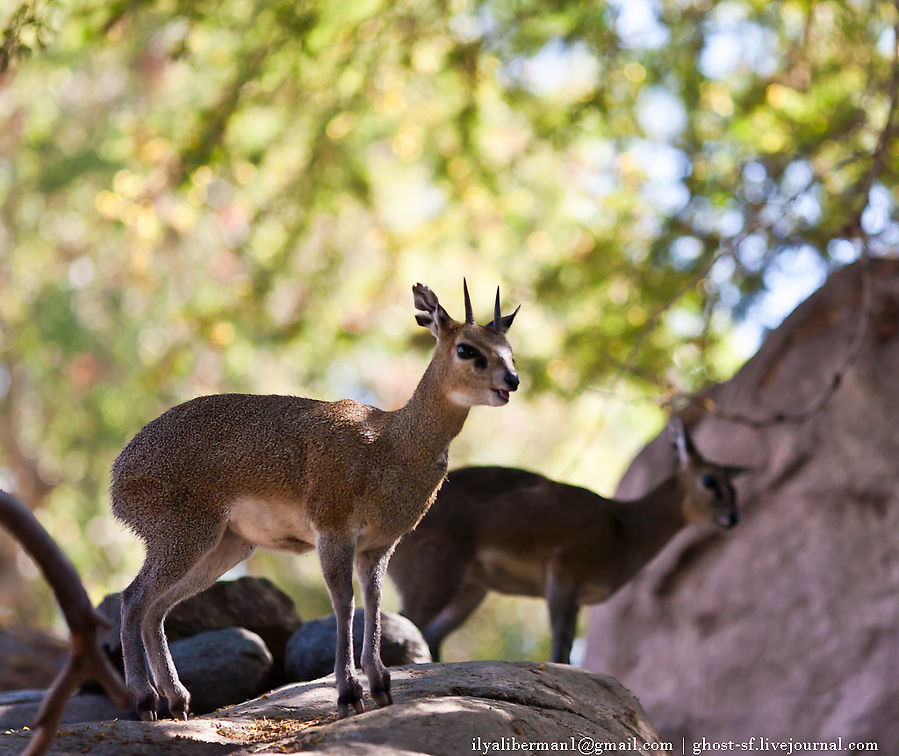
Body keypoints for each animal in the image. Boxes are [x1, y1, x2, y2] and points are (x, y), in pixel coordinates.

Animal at [110, 282, 520, 720]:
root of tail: (118, 474)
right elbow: (344, 603)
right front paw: (348, 693)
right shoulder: (333, 531)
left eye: (509, 349)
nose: (512, 380)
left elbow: (374, 603)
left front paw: (381, 686)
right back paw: (145, 699)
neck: (390, 444)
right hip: (185, 534)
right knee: (133, 598)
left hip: (226, 545)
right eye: (466, 348)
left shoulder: (379, 546)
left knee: (156, 609)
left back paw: (178, 701)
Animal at [386, 422, 744, 664]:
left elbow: (567, 639)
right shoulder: (563, 571)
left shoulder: (577, 595)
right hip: (434, 574)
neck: (624, 529)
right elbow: (561, 639)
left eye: (734, 487)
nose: (733, 518)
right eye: (709, 480)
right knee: (406, 620)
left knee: (430, 632)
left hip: (472, 589)